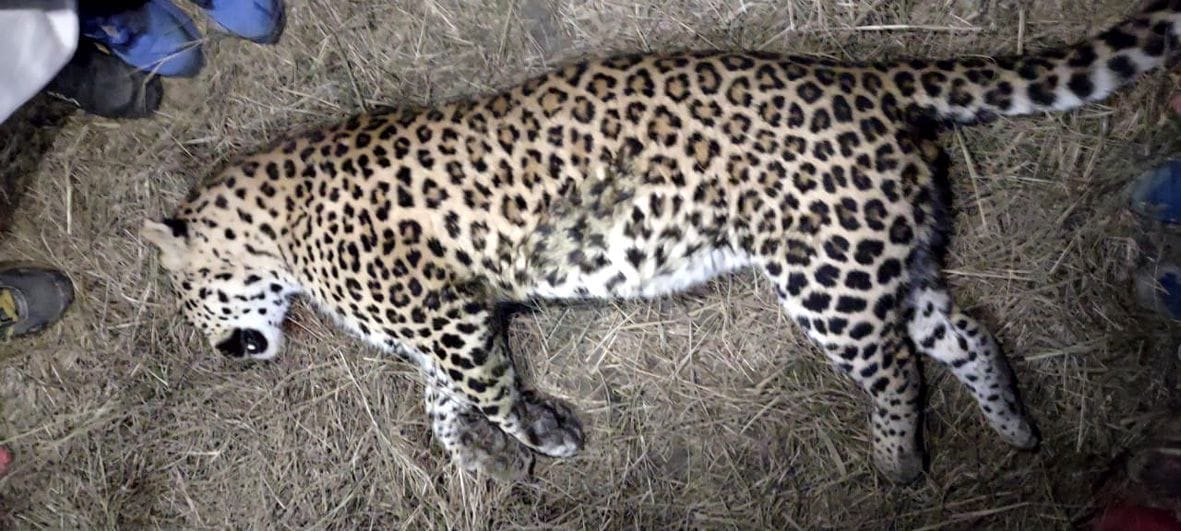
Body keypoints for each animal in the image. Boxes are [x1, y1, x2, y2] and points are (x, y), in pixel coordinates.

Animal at [141, 1, 1181, 484]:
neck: (271, 229)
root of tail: (869, 77)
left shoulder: (451, 322)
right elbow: (443, 404)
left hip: (825, 278)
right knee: (959, 332)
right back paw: (1013, 428)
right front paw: (476, 463)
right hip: (881, 253)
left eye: (187, 306)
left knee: (894, 367)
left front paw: (545, 438)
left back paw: (896, 461)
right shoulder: (449, 325)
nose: (220, 352)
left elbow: (484, 390)